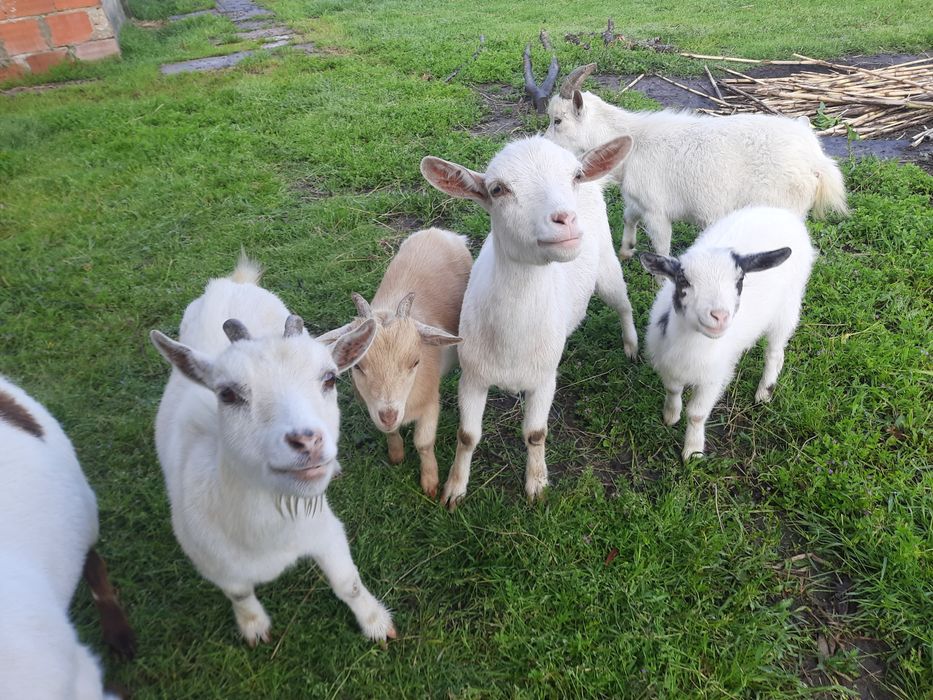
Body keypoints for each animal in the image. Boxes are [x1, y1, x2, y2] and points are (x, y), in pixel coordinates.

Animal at [149, 257, 395, 644]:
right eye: (227, 394)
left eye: (330, 379)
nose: (307, 441)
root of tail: (230, 283)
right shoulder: (211, 562)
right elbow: (239, 593)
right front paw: (254, 627)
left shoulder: (325, 531)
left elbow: (348, 583)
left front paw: (376, 623)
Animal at [319, 228, 471, 498]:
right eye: (358, 366)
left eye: (416, 361)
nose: (389, 415)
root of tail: (438, 232)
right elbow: (389, 432)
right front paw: (397, 454)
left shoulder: (430, 401)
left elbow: (423, 443)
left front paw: (430, 483)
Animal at [421, 135, 639, 508]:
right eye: (497, 189)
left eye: (574, 176)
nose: (565, 219)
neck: (512, 342)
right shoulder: (472, 375)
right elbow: (467, 435)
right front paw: (454, 489)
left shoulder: (544, 378)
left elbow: (536, 433)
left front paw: (537, 485)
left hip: (607, 267)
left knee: (623, 303)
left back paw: (632, 346)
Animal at [546, 64, 848, 258]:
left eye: (557, 120)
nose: (545, 144)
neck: (635, 142)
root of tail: (816, 160)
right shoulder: (639, 201)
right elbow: (629, 216)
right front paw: (626, 250)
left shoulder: (657, 212)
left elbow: (661, 248)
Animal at [640, 207, 817, 461]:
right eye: (683, 280)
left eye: (740, 279)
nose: (719, 316)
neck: (692, 347)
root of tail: (780, 211)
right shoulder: (668, 365)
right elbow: (673, 390)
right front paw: (670, 416)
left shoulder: (714, 377)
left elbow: (697, 414)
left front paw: (693, 452)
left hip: (788, 305)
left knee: (775, 351)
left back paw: (765, 390)